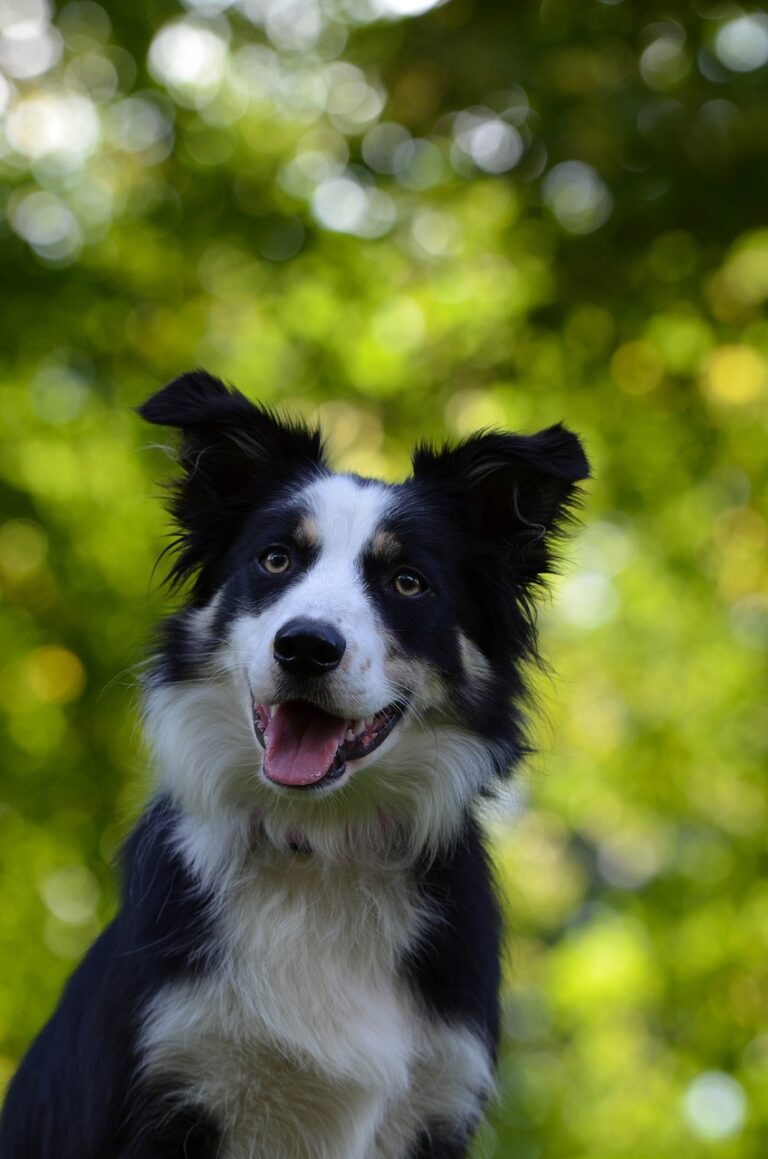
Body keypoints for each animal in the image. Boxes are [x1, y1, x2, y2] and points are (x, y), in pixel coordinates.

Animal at [0, 373, 588, 1159]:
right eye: (276, 560)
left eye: (407, 582)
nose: (306, 646)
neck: (322, 851)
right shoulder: (171, 1078)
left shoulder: (438, 1100)